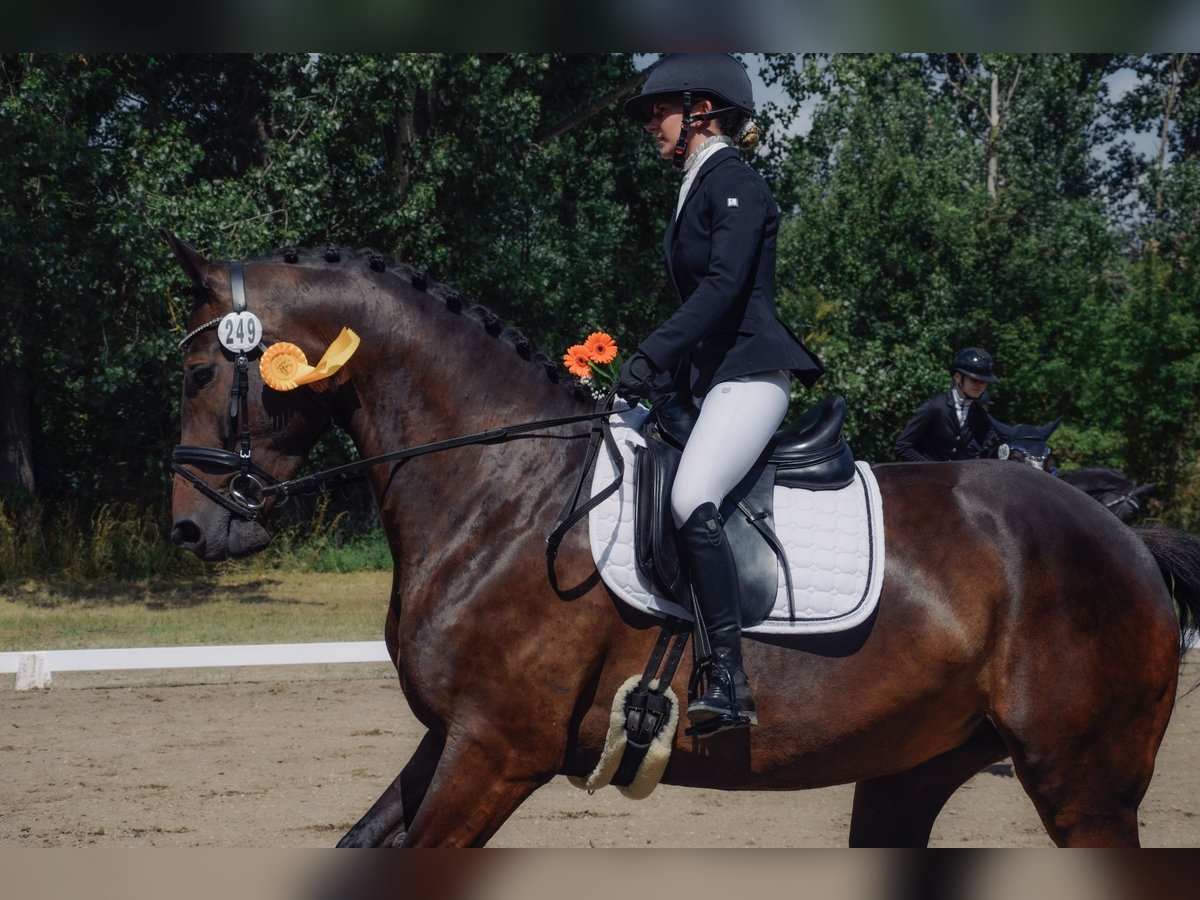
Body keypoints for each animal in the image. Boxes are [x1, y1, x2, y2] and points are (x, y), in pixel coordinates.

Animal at [166, 236, 1200, 849]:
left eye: (198, 369)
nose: (191, 526)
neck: (502, 491)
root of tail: (1127, 540)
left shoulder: (496, 750)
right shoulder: (453, 735)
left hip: (1084, 786)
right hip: (913, 770)